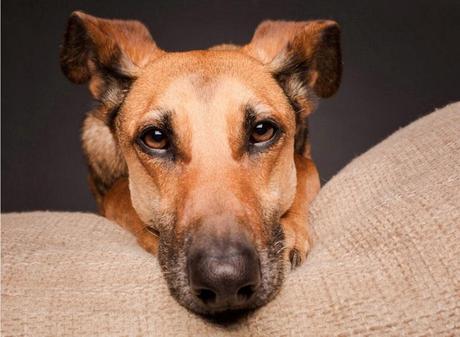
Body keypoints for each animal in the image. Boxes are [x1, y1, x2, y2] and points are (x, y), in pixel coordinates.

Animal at [60, 11, 342, 316]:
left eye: (262, 130)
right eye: (155, 137)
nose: (226, 281)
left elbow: (304, 167)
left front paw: (291, 227)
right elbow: (119, 193)